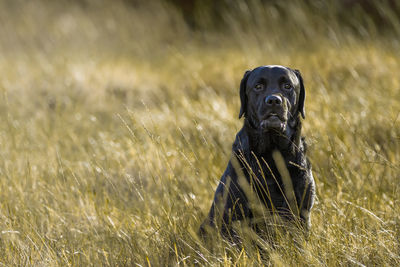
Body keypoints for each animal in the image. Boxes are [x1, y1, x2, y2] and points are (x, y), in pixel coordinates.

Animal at [200, 65, 316, 243]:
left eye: (287, 86)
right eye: (258, 86)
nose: (274, 100)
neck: (272, 154)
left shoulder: (302, 210)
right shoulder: (235, 212)